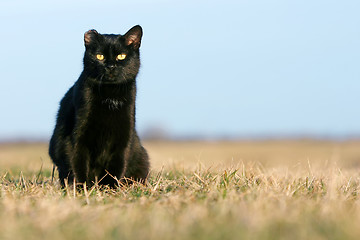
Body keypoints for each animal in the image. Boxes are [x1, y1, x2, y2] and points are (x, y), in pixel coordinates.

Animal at [48, 25, 149, 187]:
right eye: (100, 56)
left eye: (121, 56)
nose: (110, 66)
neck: (109, 95)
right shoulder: (77, 135)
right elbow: (78, 162)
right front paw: (82, 188)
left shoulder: (124, 135)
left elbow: (117, 165)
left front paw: (110, 188)